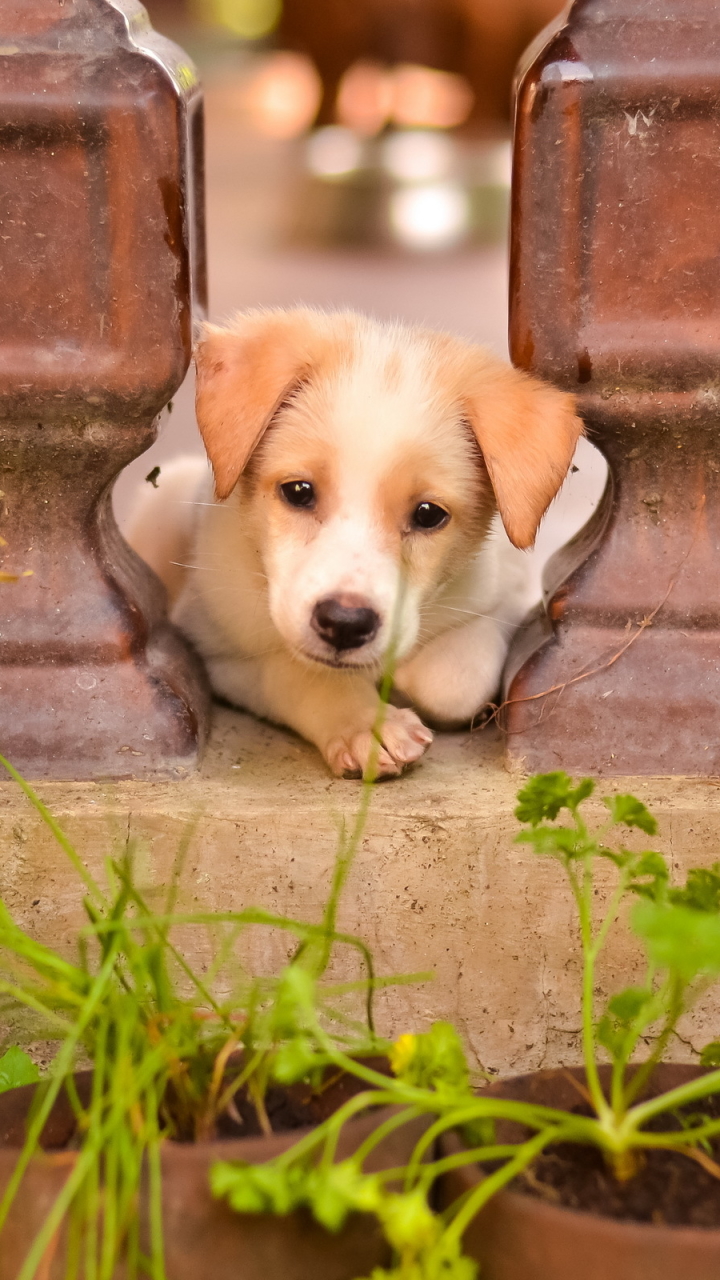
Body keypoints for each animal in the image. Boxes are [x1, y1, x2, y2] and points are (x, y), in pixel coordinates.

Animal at [126, 307, 579, 778]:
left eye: (428, 514)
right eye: (298, 491)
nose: (345, 624)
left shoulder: (509, 594)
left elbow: (455, 682)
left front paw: (402, 676)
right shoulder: (215, 646)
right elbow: (296, 671)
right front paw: (363, 724)